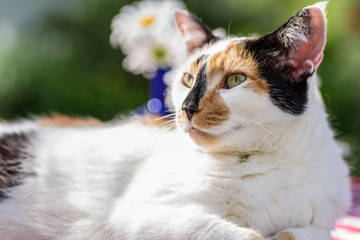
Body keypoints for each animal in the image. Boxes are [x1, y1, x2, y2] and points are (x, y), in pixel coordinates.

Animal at [0, 2, 352, 240]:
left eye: (235, 80)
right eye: (187, 78)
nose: (187, 106)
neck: (264, 163)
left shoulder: (320, 219)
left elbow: (302, 232)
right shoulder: (137, 215)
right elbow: (229, 232)